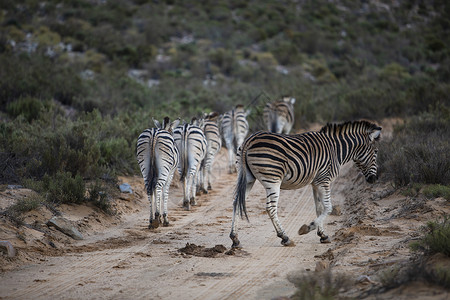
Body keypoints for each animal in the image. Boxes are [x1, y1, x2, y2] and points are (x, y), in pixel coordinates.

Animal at [230, 120, 382, 247]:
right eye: (375, 151)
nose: (374, 179)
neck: (336, 150)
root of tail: (249, 140)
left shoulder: (316, 183)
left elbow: (319, 208)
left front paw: (323, 235)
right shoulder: (324, 180)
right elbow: (328, 207)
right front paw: (307, 228)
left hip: (247, 178)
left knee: (236, 202)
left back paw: (235, 239)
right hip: (273, 179)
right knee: (270, 208)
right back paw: (285, 237)